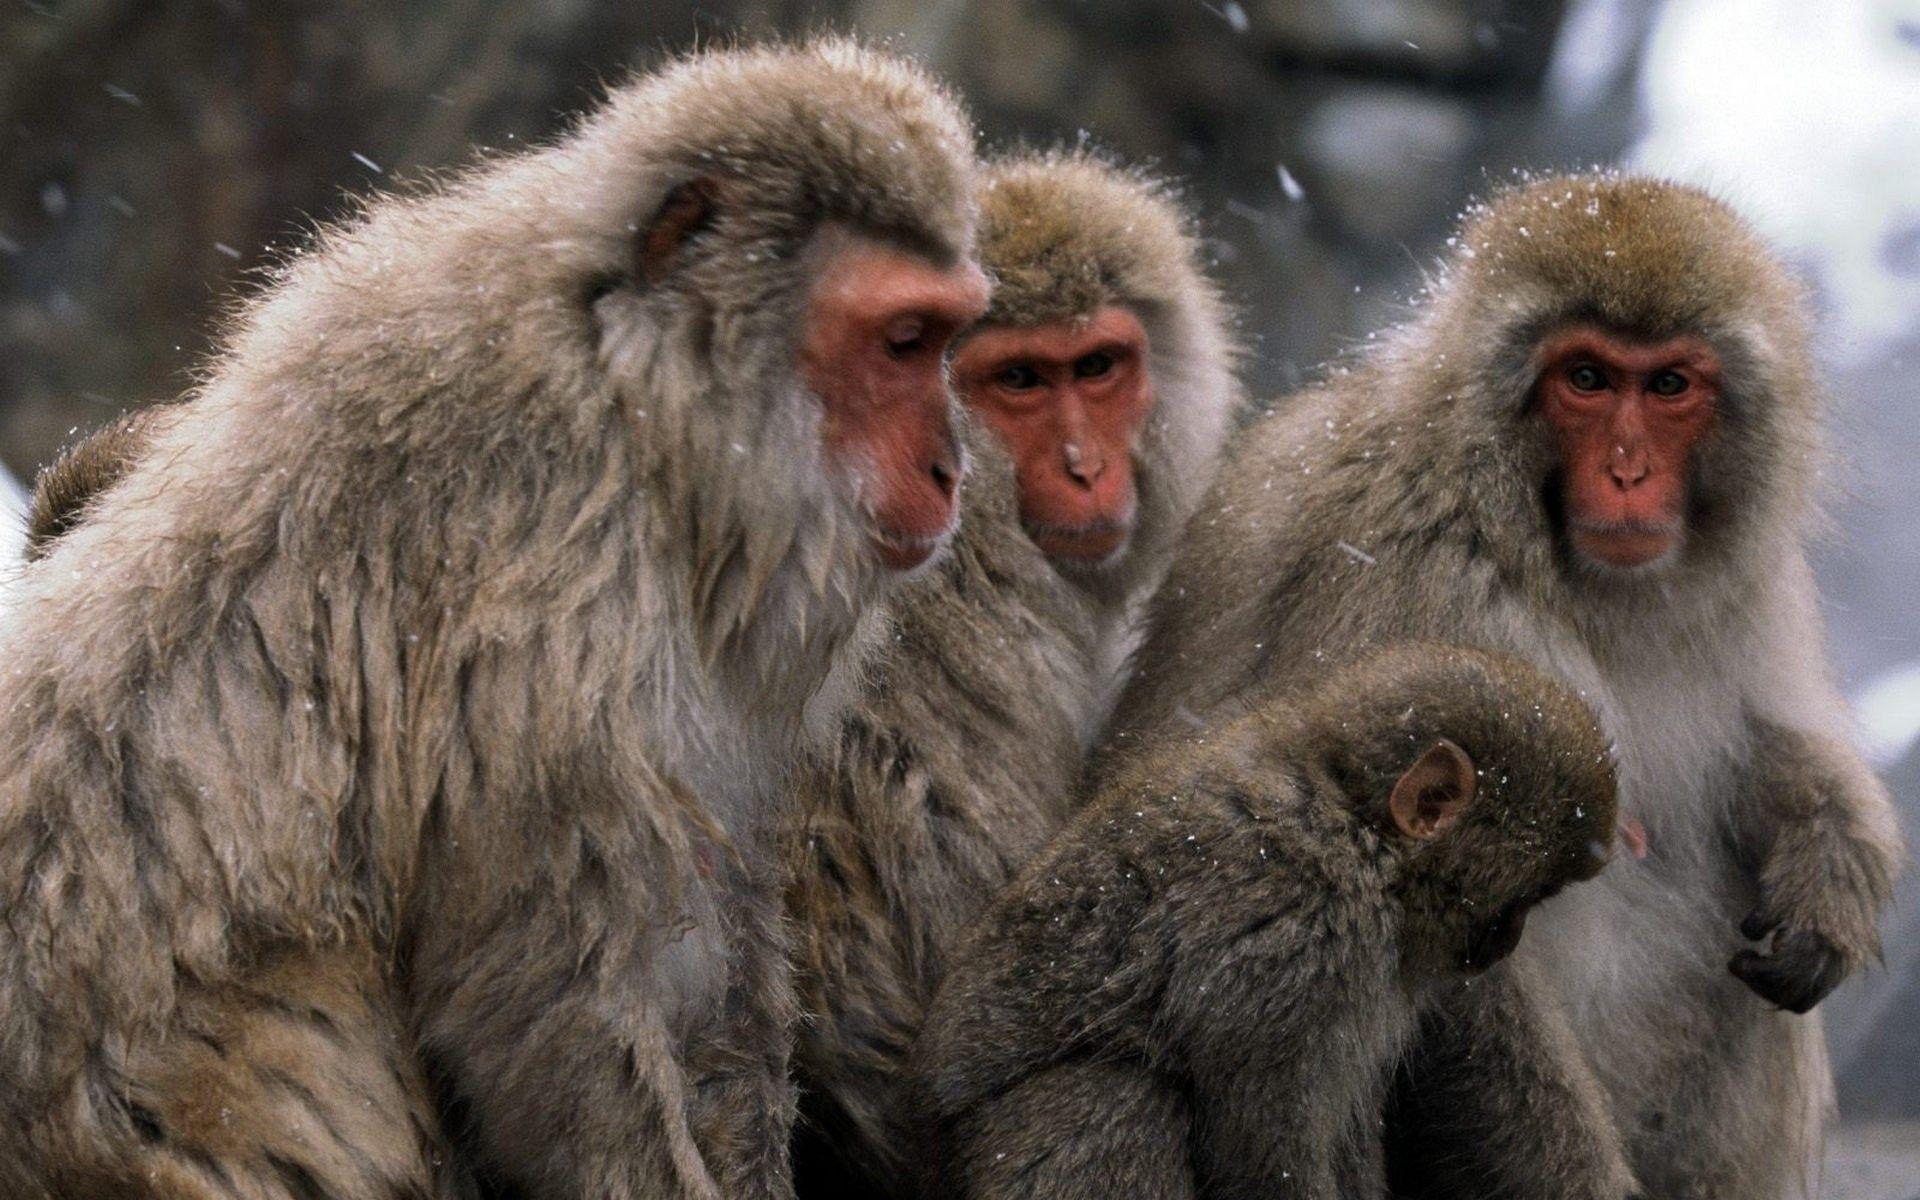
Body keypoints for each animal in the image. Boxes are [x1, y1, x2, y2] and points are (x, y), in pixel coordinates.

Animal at [0, 39, 988, 1200]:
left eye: (947, 338)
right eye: (903, 341)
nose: (951, 467)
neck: (636, 398)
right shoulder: (559, 606)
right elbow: (554, 1003)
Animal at [913, 644, 1621, 1200]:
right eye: (1526, 899)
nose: (1509, 941)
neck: (1359, 829)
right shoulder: (1295, 948)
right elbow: (1259, 1141)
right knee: (1110, 1094)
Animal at [1102, 172, 1904, 1198]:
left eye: (1669, 385)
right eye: (1587, 380)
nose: (1629, 471)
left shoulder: (1744, 589)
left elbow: (1768, 750)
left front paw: (1831, 871)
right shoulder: (1416, 577)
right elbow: (1455, 937)